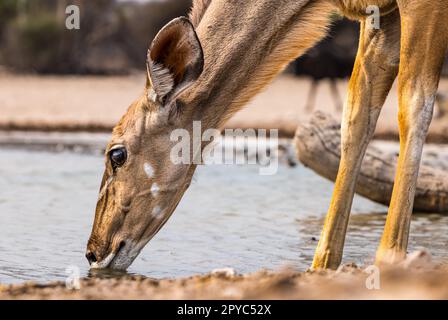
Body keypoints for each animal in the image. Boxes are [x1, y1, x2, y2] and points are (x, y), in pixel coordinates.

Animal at [86, 0, 448, 270]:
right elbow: (357, 118)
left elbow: (414, 106)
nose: (94, 252)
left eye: (117, 153)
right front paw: (321, 266)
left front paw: (390, 260)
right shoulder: (382, 18)